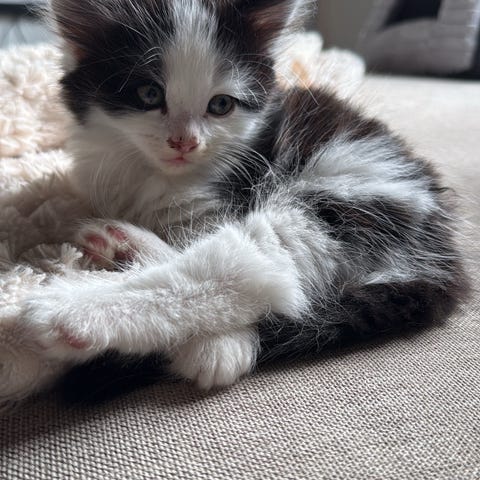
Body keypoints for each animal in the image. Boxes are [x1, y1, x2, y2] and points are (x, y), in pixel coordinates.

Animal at [15, 0, 468, 396]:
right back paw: (123, 243)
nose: (184, 142)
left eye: (220, 105)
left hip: (342, 199)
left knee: (248, 269)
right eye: (148, 95)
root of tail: (446, 259)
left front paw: (219, 347)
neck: (155, 173)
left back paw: (72, 312)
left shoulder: (222, 199)